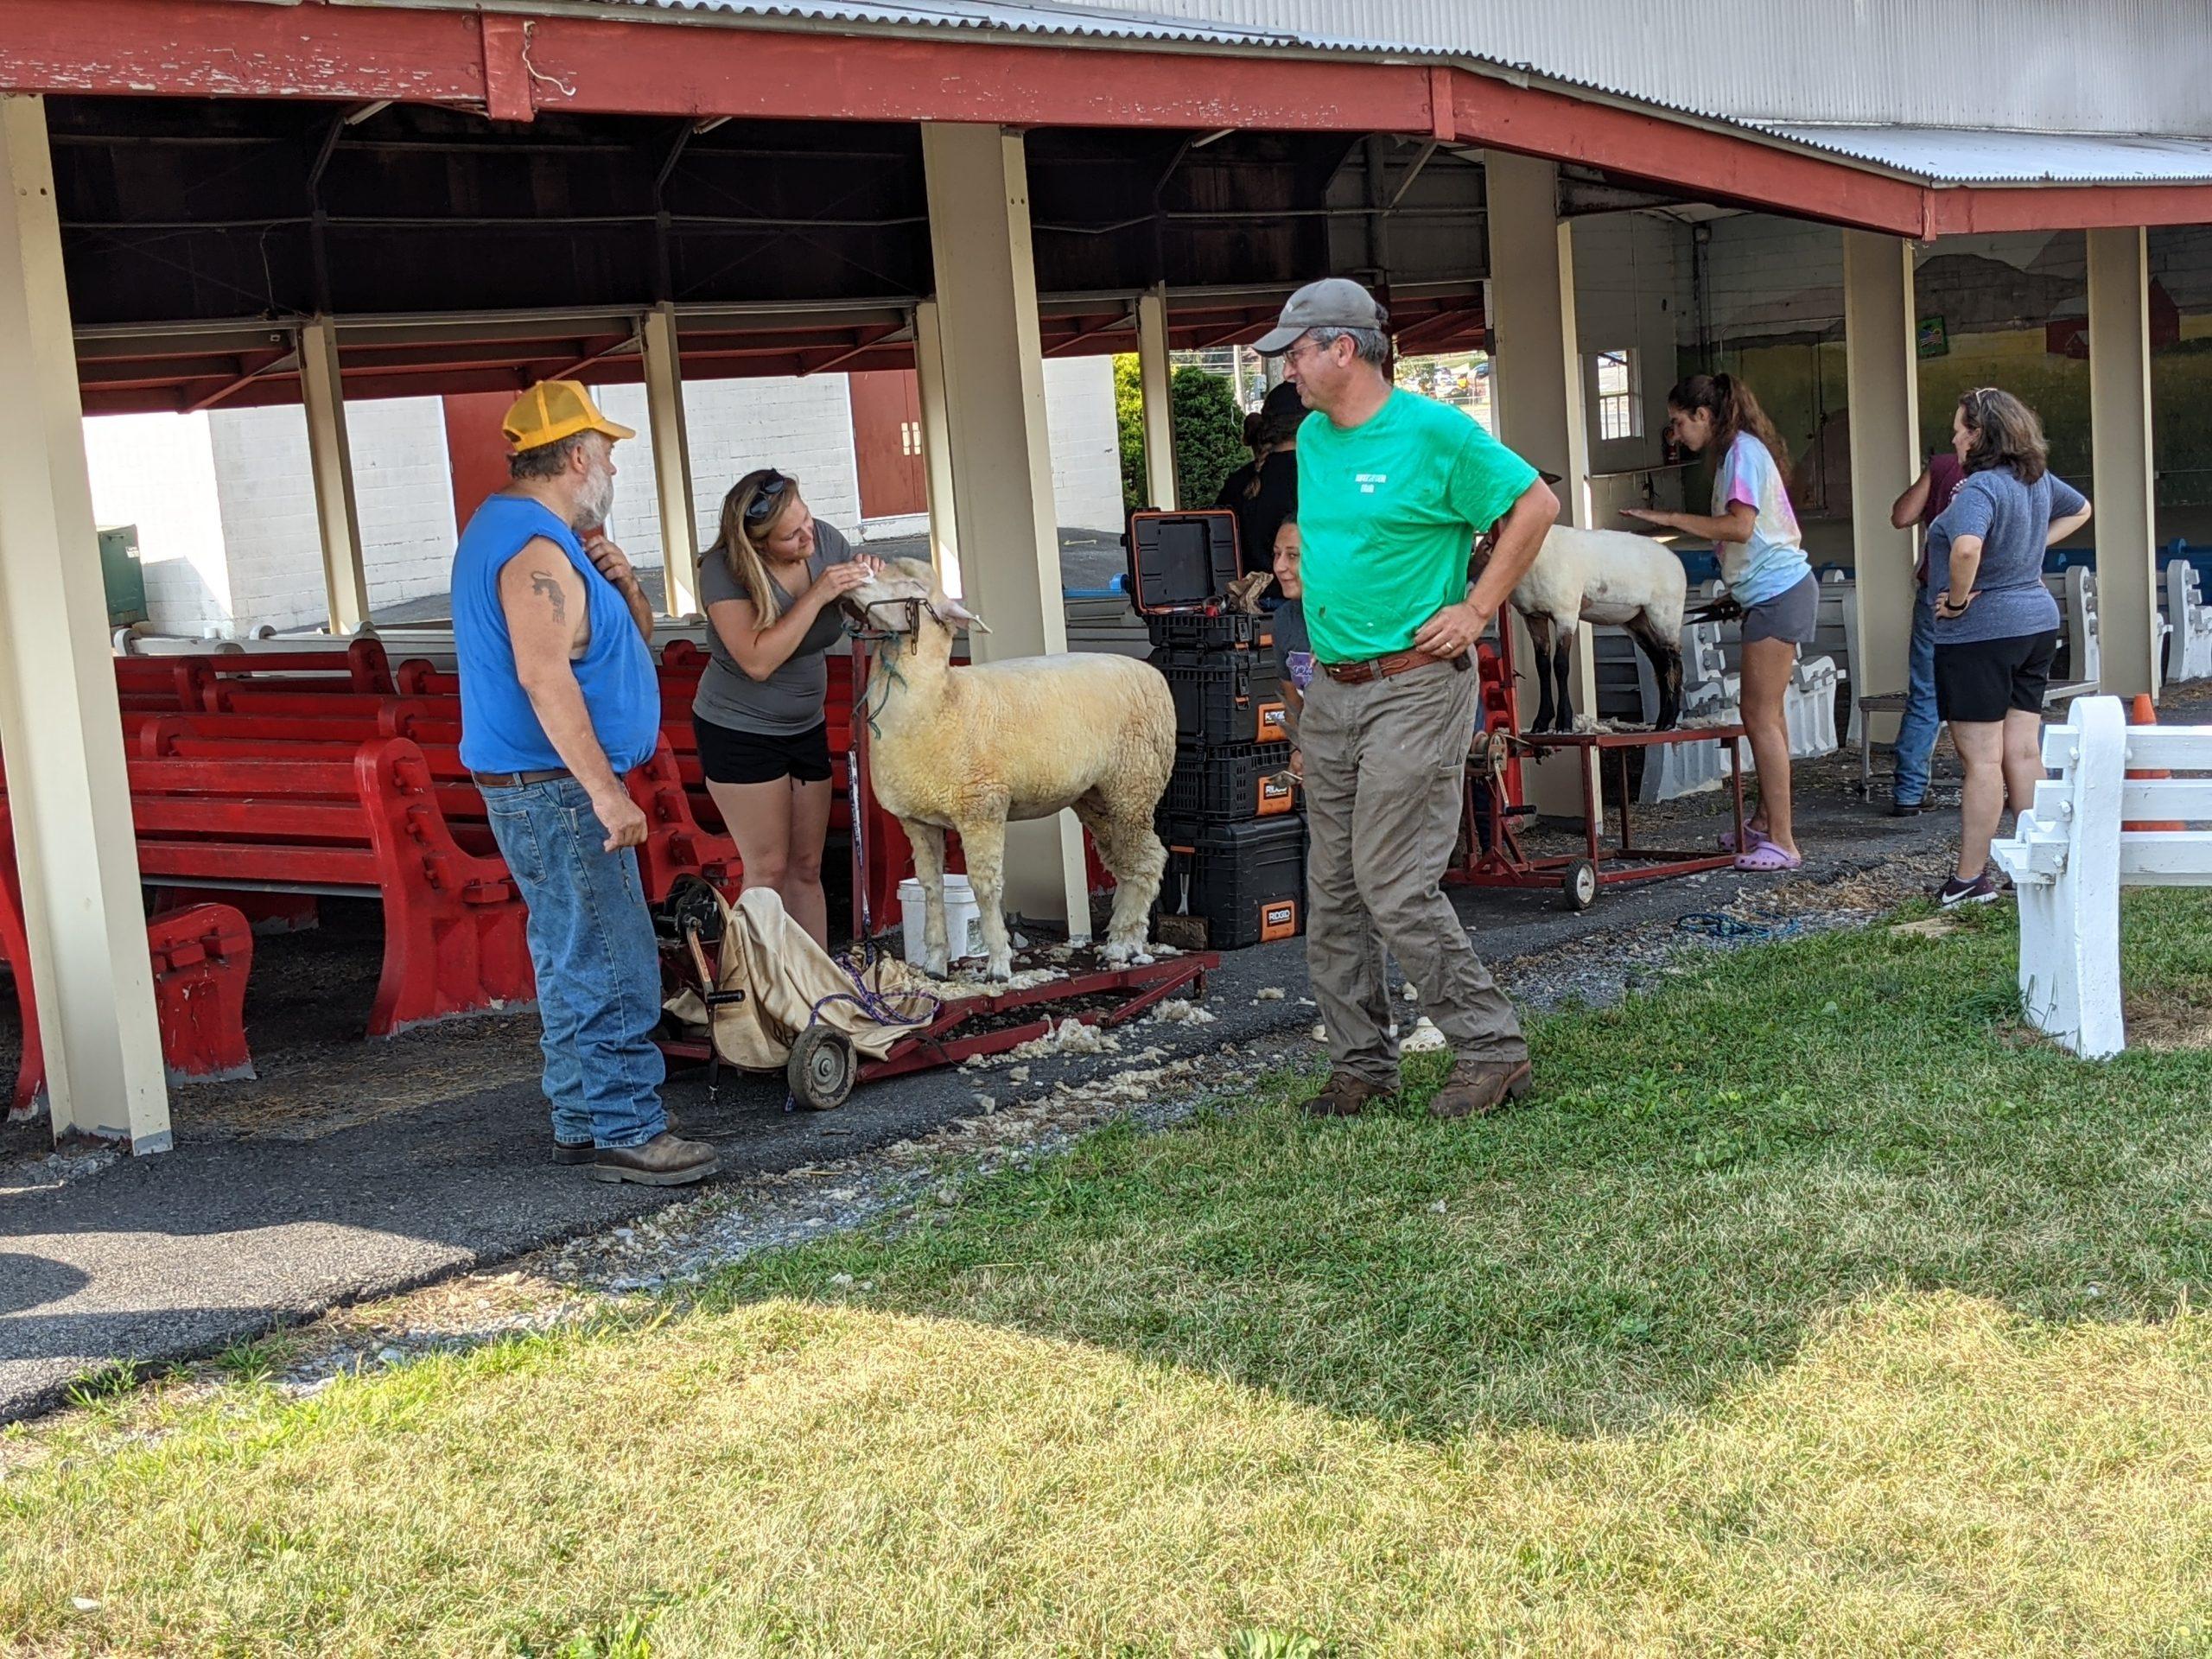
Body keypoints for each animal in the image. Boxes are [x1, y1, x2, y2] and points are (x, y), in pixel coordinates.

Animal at [836, 559, 1176, 982]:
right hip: (1095, 796)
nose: (854, 573)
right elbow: (932, 888)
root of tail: (1150, 672)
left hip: (1134, 783)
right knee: (1126, 862)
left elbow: (985, 887)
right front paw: (935, 964)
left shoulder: (982, 807)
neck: (942, 702)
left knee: (1147, 859)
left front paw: (998, 963)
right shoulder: (917, 819)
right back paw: (1121, 939)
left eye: (914, 585)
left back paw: (1124, 945)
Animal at [1495, 526, 1681, 734]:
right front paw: (1540, 723)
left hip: (1666, 613)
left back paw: (1669, 721)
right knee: (1661, 661)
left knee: (1674, 661)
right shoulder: (1533, 617)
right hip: (1637, 619)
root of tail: (1675, 560)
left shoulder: (1566, 613)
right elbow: (1542, 666)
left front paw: (1564, 723)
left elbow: (1561, 665)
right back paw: (1661, 723)